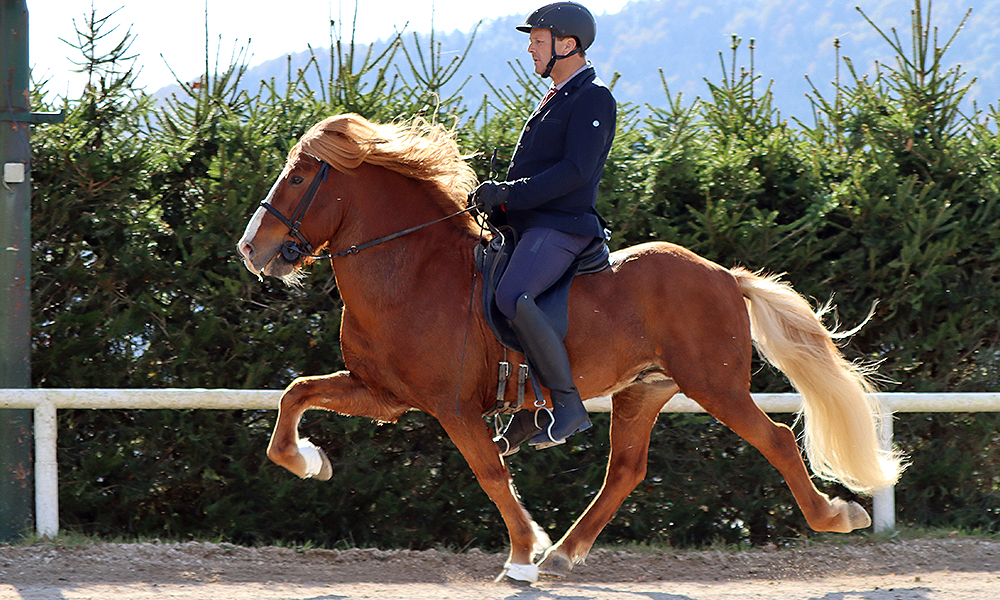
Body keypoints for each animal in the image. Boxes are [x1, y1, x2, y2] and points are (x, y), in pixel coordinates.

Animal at [236, 112, 908, 580]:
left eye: (300, 177)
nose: (250, 248)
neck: (412, 270)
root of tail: (723, 275)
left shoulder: (451, 407)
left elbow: (490, 473)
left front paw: (521, 552)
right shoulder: (384, 394)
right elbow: (295, 394)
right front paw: (309, 462)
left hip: (714, 385)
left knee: (774, 441)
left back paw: (837, 515)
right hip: (644, 391)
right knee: (626, 470)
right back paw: (564, 554)